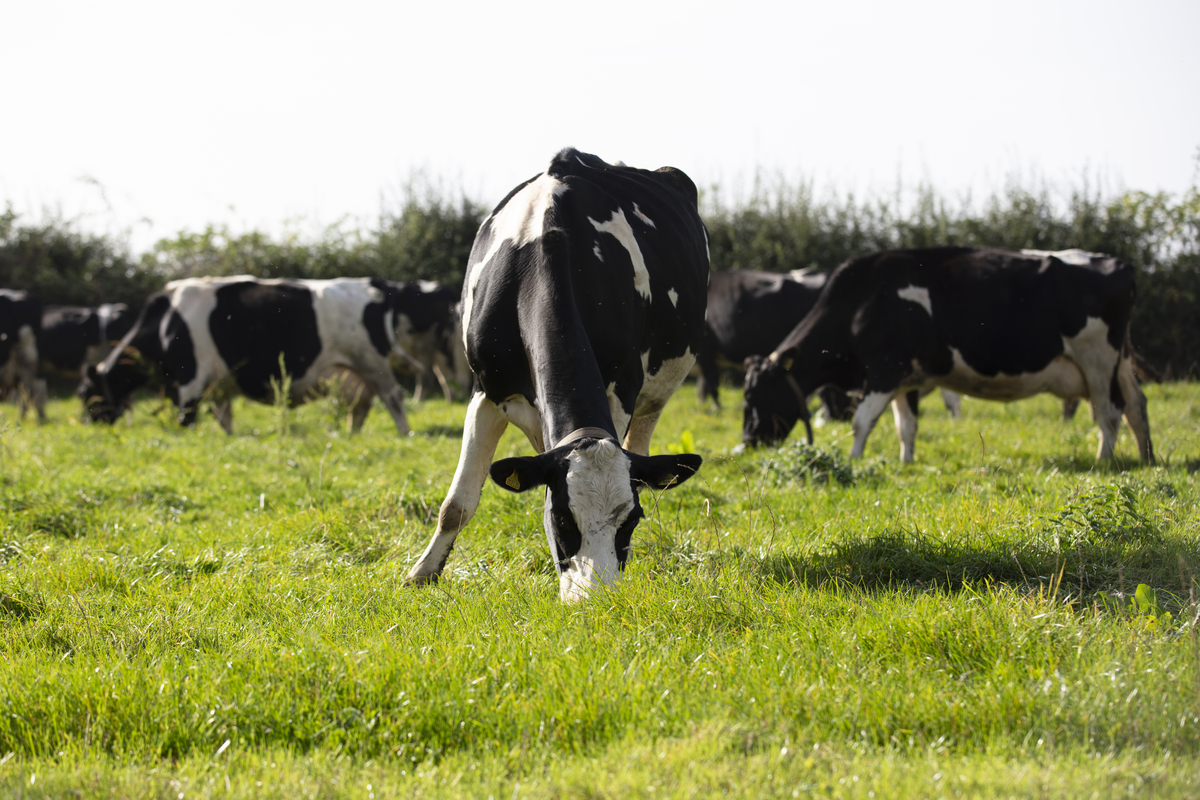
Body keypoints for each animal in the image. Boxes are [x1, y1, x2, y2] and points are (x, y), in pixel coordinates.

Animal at [79, 276, 423, 434]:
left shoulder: (191, 377)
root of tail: (370, 283)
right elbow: (224, 417)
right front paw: (230, 438)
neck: (166, 322)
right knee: (361, 405)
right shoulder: (217, 383)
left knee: (393, 397)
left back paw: (404, 433)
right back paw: (350, 435)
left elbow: (186, 416)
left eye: (87, 394)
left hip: (373, 363)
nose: (85, 423)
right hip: (352, 371)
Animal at [405, 149, 707, 602]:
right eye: (562, 518)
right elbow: (456, 504)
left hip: (655, 394)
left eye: (631, 521)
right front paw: (422, 573)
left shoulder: (620, 391)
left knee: (641, 445)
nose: (592, 599)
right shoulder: (486, 392)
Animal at [741, 247, 1153, 464]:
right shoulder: (907, 377)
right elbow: (905, 426)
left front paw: (854, 461)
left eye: (756, 395)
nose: (747, 442)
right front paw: (906, 462)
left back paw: (1103, 461)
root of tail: (1117, 263)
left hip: (1097, 358)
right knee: (1136, 404)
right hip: (1116, 363)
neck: (861, 300)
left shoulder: (885, 370)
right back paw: (1146, 458)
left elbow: (862, 421)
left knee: (1109, 411)